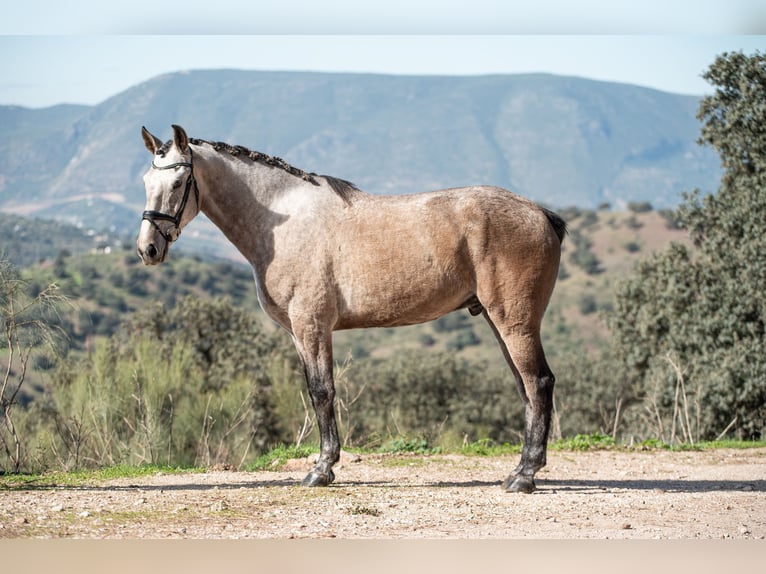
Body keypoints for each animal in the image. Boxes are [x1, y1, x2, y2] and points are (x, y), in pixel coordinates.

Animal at [138, 126, 568, 496]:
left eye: (177, 183)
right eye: (146, 183)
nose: (148, 249)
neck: (283, 222)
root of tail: (540, 214)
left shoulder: (312, 326)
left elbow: (321, 391)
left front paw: (321, 469)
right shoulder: (299, 334)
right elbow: (317, 392)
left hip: (515, 322)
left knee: (539, 383)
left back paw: (525, 476)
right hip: (499, 322)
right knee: (526, 388)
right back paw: (521, 469)